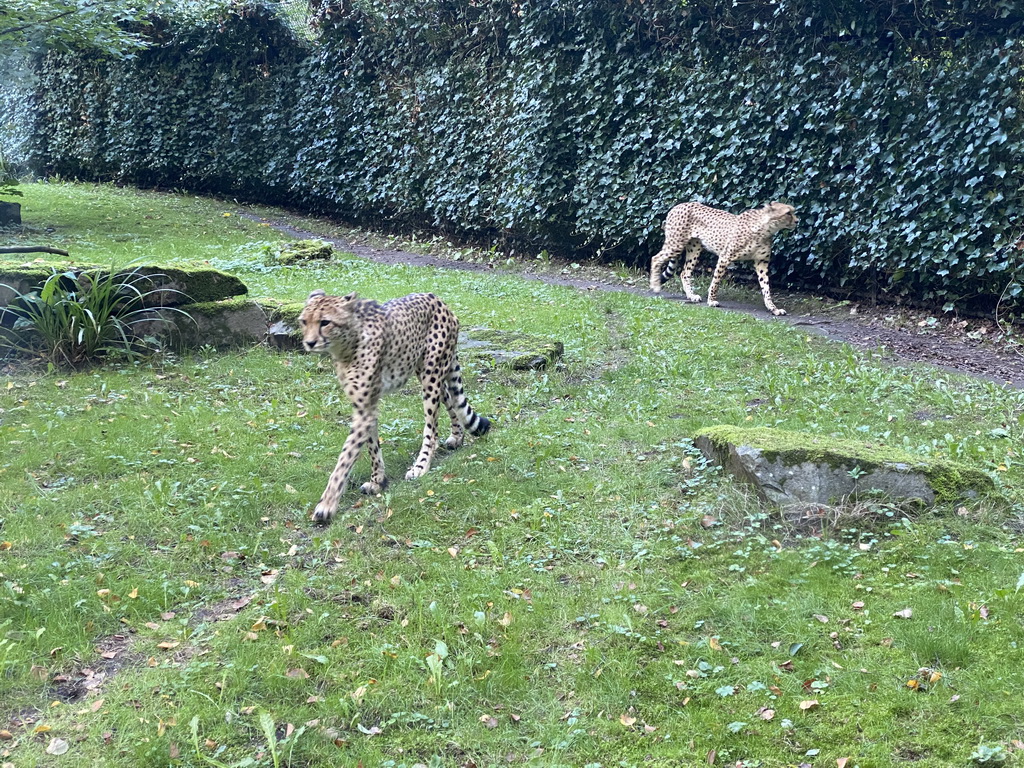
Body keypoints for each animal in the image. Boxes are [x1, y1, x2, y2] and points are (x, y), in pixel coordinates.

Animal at [299, 290, 489, 528]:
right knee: (450, 398)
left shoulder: (364, 410)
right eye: (304, 322)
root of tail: (437, 298)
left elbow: (345, 459)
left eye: (325, 322)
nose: (309, 342)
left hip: (431, 374)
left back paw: (421, 466)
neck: (347, 345)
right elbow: (372, 446)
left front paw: (326, 505)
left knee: (432, 428)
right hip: (426, 370)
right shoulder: (365, 405)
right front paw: (377, 481)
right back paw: (456, 437)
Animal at [647, 202, 798, 317]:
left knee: (684, 272)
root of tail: (677, 205)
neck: (764, 229)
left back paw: (691, 296)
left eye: (793, 211)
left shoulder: (762, 262)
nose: (797, 221)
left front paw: (773, 308)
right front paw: (711, 301)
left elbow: (766, 288)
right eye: (788, 213)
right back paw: (655, 286)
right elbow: (716, 282)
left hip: (694, 248)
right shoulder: (725, 257)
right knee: (655, 258)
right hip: (676, 244)